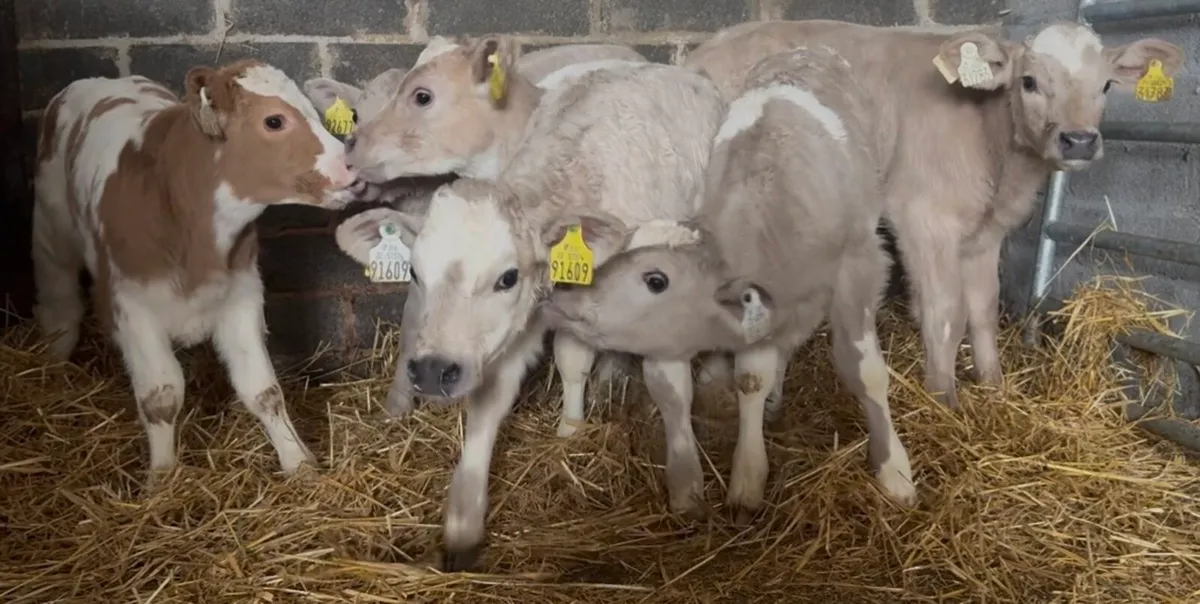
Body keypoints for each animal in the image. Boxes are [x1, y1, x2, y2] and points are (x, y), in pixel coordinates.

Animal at [31, 59, 360, 482]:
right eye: (274, 121)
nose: (350, 166)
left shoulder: (242, 296)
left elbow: (262, 390)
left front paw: (298, 463)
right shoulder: (131, 308)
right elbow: (161, 397)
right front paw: (161, 479)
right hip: (50, 229)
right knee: (61, 307)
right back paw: (53, 366)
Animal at [332, 61, 726, 570]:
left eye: (507, 277)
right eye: (415, 272)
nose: (433, 370)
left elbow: (671, 387)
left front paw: (686, 485)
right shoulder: (518, 327)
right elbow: (495, 401)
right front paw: (463, 525)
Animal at [539, 46, 917, 520]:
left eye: (656, 279)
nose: (567, 297)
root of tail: (804, 49)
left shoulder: (861, 268)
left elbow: (866, 372)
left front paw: (895, 470)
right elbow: (747, 378)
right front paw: (739, 477)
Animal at [684, 19, 1186, 408]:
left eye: (1106, 85)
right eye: (1028, 82)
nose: (1079, 140)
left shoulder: (986, 234)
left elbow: (982, 308)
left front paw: (994, 385)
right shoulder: (925, 221)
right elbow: (946, 311)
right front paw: (943, 398)